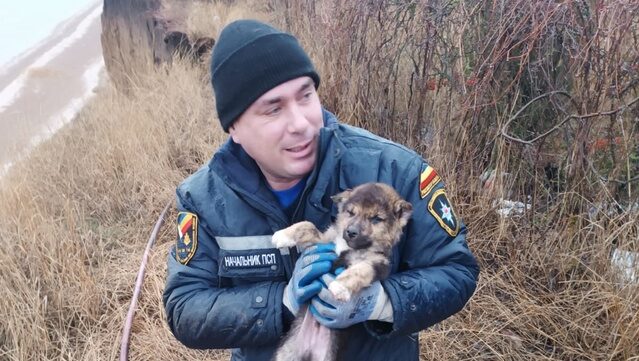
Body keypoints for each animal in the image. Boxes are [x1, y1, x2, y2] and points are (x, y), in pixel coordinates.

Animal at [272, 183, 412, 360]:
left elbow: (360, 270)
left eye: (376, 219)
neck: (351, 247)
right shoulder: (324, 241)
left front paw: (340, 286)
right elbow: (307, 225)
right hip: (286, 353)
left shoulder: (378, 264)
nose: (351, 232)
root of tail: (309, 351)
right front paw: (282, 235)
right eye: (350, 212)